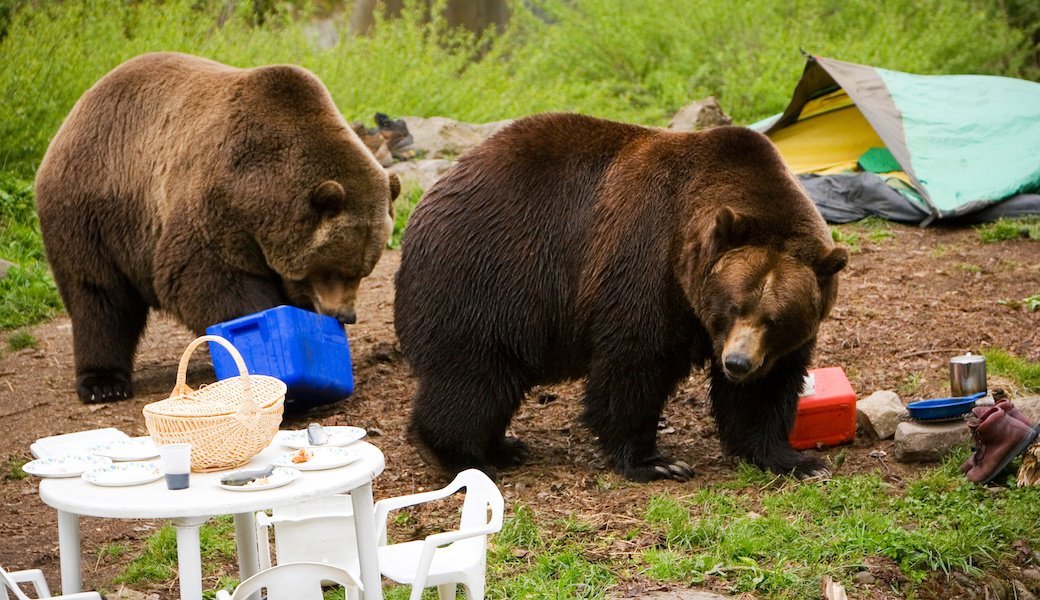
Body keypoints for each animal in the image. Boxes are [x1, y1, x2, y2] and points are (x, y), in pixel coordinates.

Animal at [34, 52, 400, 403]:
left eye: (363, 271)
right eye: (334, 270)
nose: (346, 314)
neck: (260, 196)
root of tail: (77, 110)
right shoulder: (216, 201)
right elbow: (208, 278)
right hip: (93, 209)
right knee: (98, 296)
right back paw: (103, 383)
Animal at [394, 112, 848, 482]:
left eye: (776, 318)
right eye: (732, 306)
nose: (736, 363)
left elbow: (765, 390)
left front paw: (800, 461)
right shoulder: (647, 261)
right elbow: (635, 362)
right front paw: (657, 462)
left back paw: (503, 447)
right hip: (487, 278)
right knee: (473, 377)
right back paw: (457, 455)